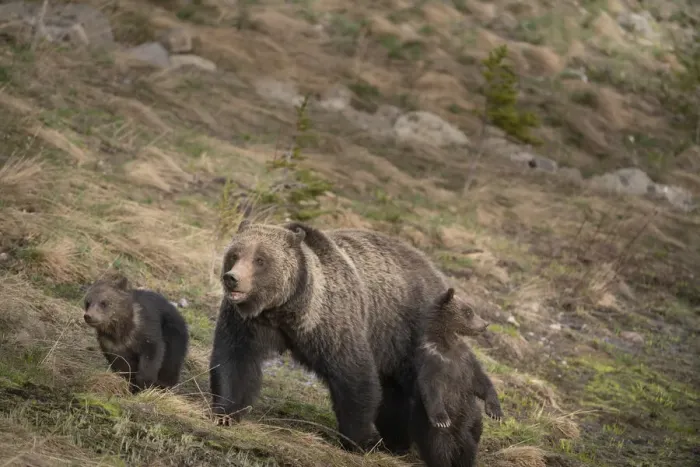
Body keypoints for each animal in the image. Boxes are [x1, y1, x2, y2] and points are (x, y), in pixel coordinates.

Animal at [209, 220, 452, 453]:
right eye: (235, 254)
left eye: (260, 259)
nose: (232, 278)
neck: (285, 309)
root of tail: (436, 272)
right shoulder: (249, 322)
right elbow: (235, 360)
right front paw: (226, 413)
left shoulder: (332, 324)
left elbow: (353, 375)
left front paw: (360, 440)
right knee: (395, 393)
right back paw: (397, 442)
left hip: (410, 331)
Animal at [410, 287, 504, 467]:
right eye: (468, 311)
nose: (485, 324)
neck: (448, 344)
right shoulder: (432, 361)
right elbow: (430, 388)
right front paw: (442, 419)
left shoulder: (465, 360)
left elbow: (480, 380)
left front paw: (495, 411)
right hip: (439, 433)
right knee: (440, 449)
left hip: (465, 426)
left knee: (468, 447)